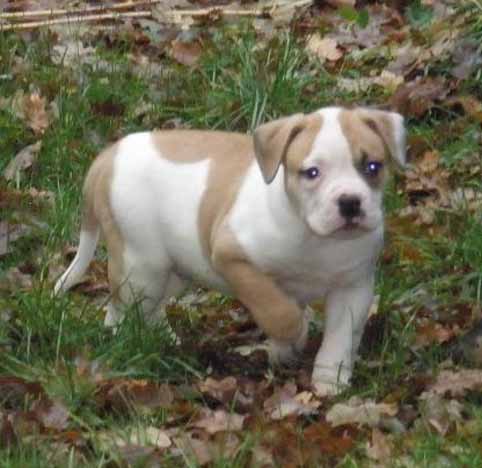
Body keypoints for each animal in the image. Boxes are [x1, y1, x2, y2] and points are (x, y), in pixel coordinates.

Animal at [54, 106, 404, 394]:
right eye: (312, 173)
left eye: (373, 167)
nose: (350, 203)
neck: (315, 237)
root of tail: (108, 155)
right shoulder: (232, 257)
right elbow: (278, 311)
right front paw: (295, 335)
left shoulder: (353, 288)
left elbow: (340, 336)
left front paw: (330, 378)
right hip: (141, 264)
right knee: (120, 308)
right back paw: (124, 341)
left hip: (172, 270)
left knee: (146, 308)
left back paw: (164, 339)